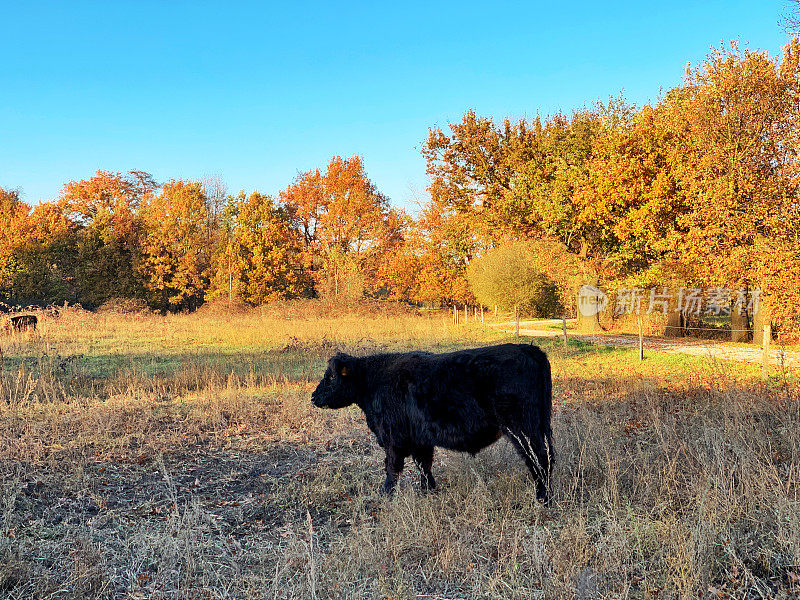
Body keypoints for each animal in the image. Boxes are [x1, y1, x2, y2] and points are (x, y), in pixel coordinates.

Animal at [312, 342, 556, 502]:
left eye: (331, 377)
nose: (314, 397)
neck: (372, 383)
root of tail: (529, 349)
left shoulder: (393, 438)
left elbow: (392, 468)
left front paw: (386, 495)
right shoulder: (420, 439)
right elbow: (424, 464)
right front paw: (428, 490)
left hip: (524, 428)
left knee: (540, 458)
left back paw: (542, 497)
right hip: (539, 425)